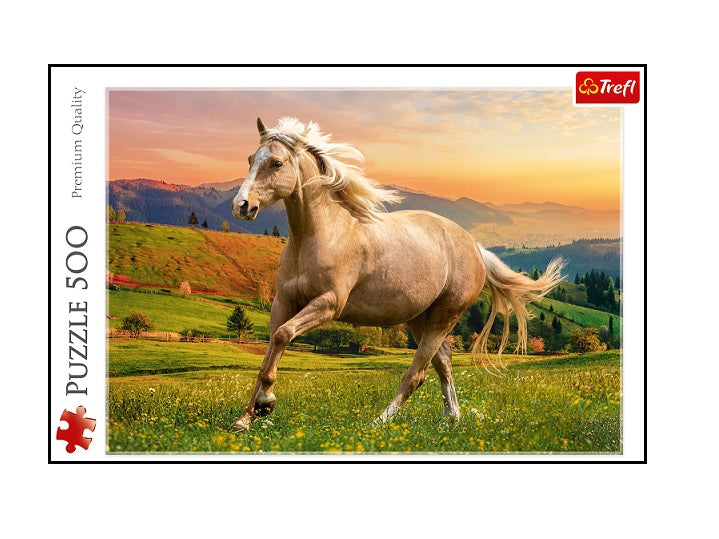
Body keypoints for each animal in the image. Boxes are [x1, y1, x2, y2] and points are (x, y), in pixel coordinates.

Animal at [230, 117, 564, 432]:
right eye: (250, 159)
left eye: (276, 163)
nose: (241, 206)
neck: (322, 234)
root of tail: (475, 247)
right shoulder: (283, 302)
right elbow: (271, 347)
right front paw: (247, 417)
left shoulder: (328, 304)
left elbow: (283, 336)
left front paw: (266, 403)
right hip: (420, 318)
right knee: (444, 361)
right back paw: (452, 418)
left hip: (445, 315)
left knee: (417, 373)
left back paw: (379, 422)